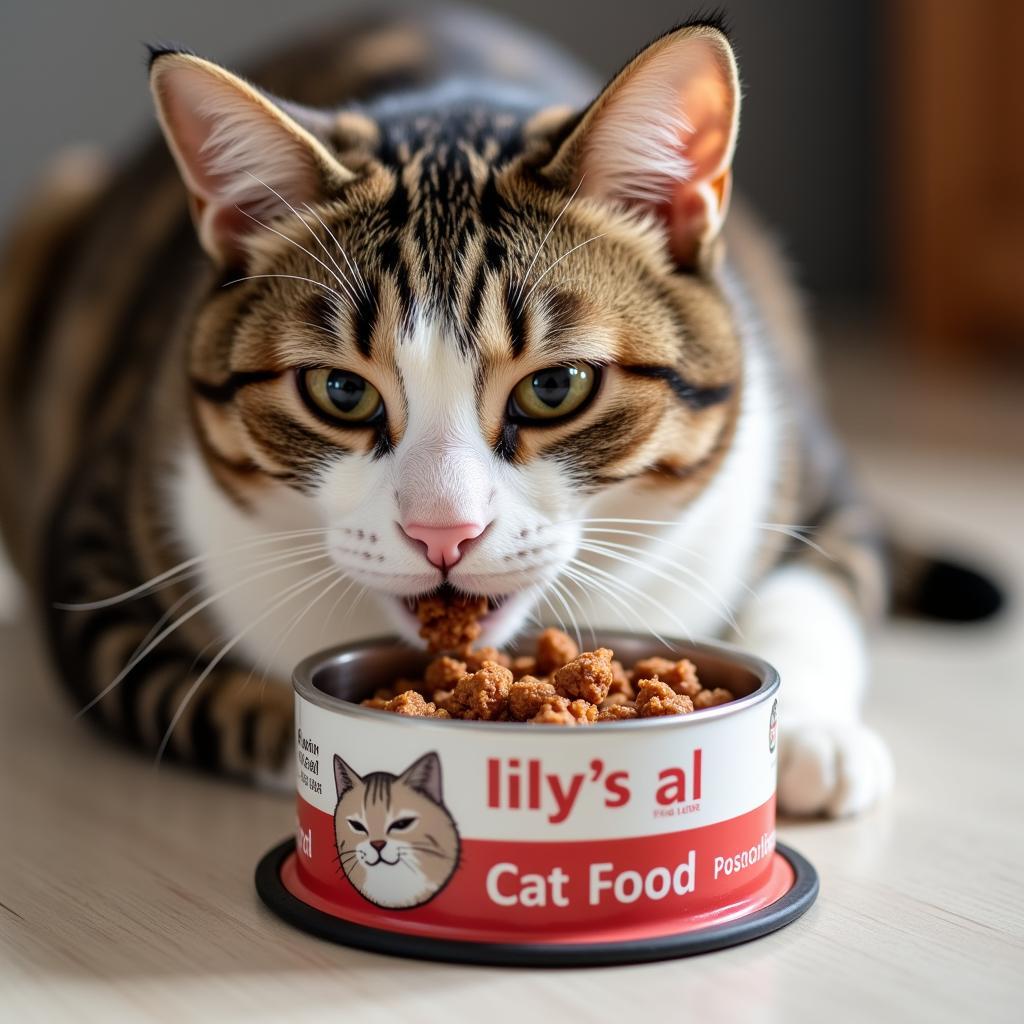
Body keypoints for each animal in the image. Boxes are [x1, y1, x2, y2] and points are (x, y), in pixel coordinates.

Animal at [0, 9, 991, 815]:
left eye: (556, 388)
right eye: (340, 391)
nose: (444, 533)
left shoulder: (805, 469)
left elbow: (815, 592)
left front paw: (814, 740)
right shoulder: (97, 562)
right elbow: (239, 709)